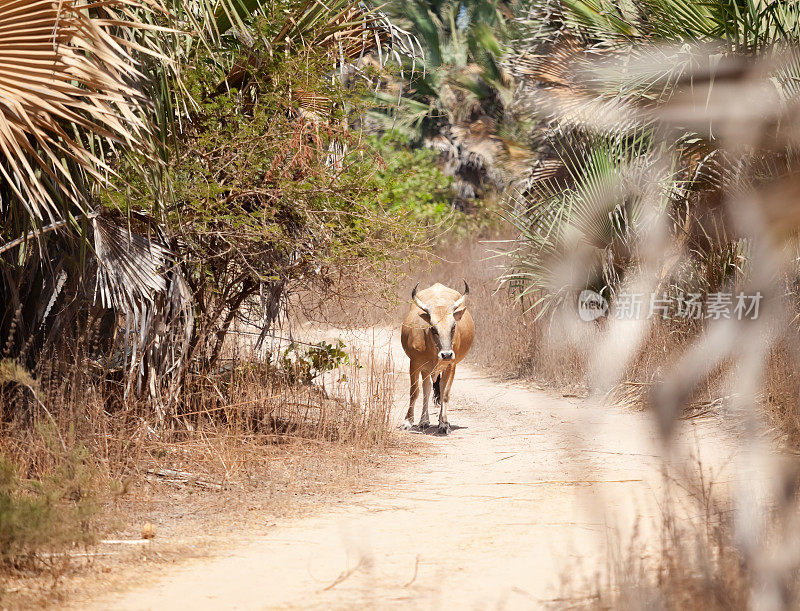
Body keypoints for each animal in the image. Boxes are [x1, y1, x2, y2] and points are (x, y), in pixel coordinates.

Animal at [404, 282, 472, 436]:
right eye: (433, 328)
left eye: (453, 326)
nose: (446, 354)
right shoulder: (414, 363)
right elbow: (414, 392)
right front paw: (407, 422)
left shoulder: (451, 365)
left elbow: (445, 394)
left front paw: (444, 424)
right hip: (425, 369)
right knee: (427, 388)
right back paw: (423, 421)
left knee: (437, 388)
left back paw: (439, 420)